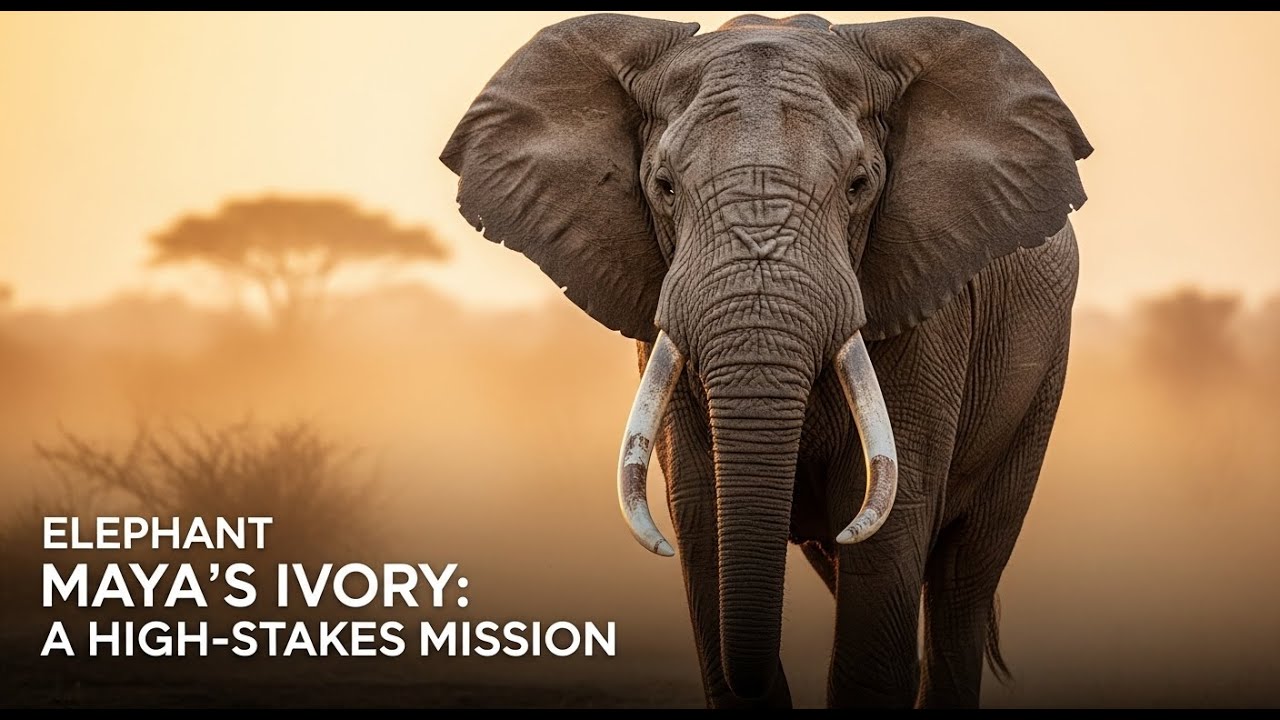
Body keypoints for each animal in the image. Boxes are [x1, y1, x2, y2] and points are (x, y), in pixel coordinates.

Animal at [440, 13, 1091, 709]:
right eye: (663, 186)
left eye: (860, 185)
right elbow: (703, 517)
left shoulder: (928, 311)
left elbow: (888, 529)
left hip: (1041, 386)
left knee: (963, 577)